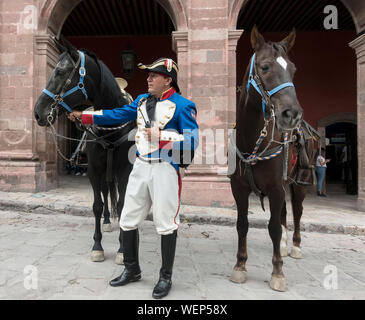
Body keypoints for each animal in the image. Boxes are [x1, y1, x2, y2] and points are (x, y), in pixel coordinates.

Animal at [33, 37, 134, 264]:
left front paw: (123, 249)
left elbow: (123, 204)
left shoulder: (124, 170)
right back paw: (107, 221)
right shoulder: (94, 170)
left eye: (61, 71)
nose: (37, 112)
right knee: (105, 191)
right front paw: (97, 246)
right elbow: (97, 205)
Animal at [228, 26, 316, 292]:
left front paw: (278, 273)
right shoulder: (239, 187)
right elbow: (243, 224)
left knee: (296, 212)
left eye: (293, 69)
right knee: (286, 213)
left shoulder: (276, 188)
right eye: (265, 67)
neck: (251, 140)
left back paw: (295, 246)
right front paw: (240, 266)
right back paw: (286, 246)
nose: (292, 114)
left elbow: (274, 228)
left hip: (299, 183)